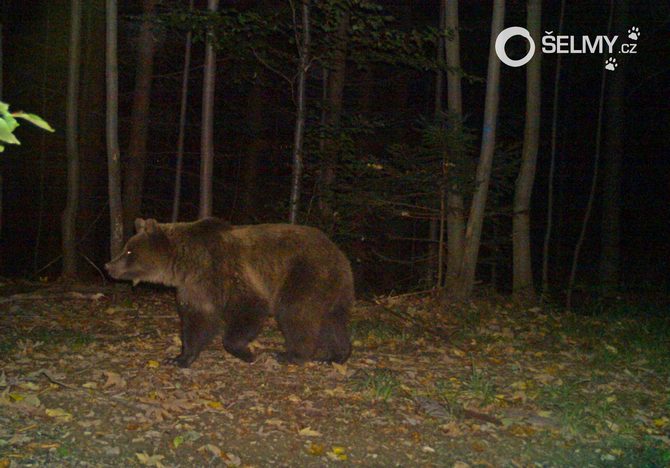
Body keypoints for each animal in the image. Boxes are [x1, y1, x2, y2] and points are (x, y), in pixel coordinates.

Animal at [104, 218, 354, 368]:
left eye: (128, 250)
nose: (108, 266)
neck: (186, 265)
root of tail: (338, 251)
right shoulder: (196, 288)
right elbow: (196, 322)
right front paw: (180, 358)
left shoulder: (225, 272)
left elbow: (249, 307)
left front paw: (247, 352)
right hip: (333, 287)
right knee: (333, 320)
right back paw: (336, 355)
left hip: (304, 273)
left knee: (296, 313)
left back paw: (291, 355)